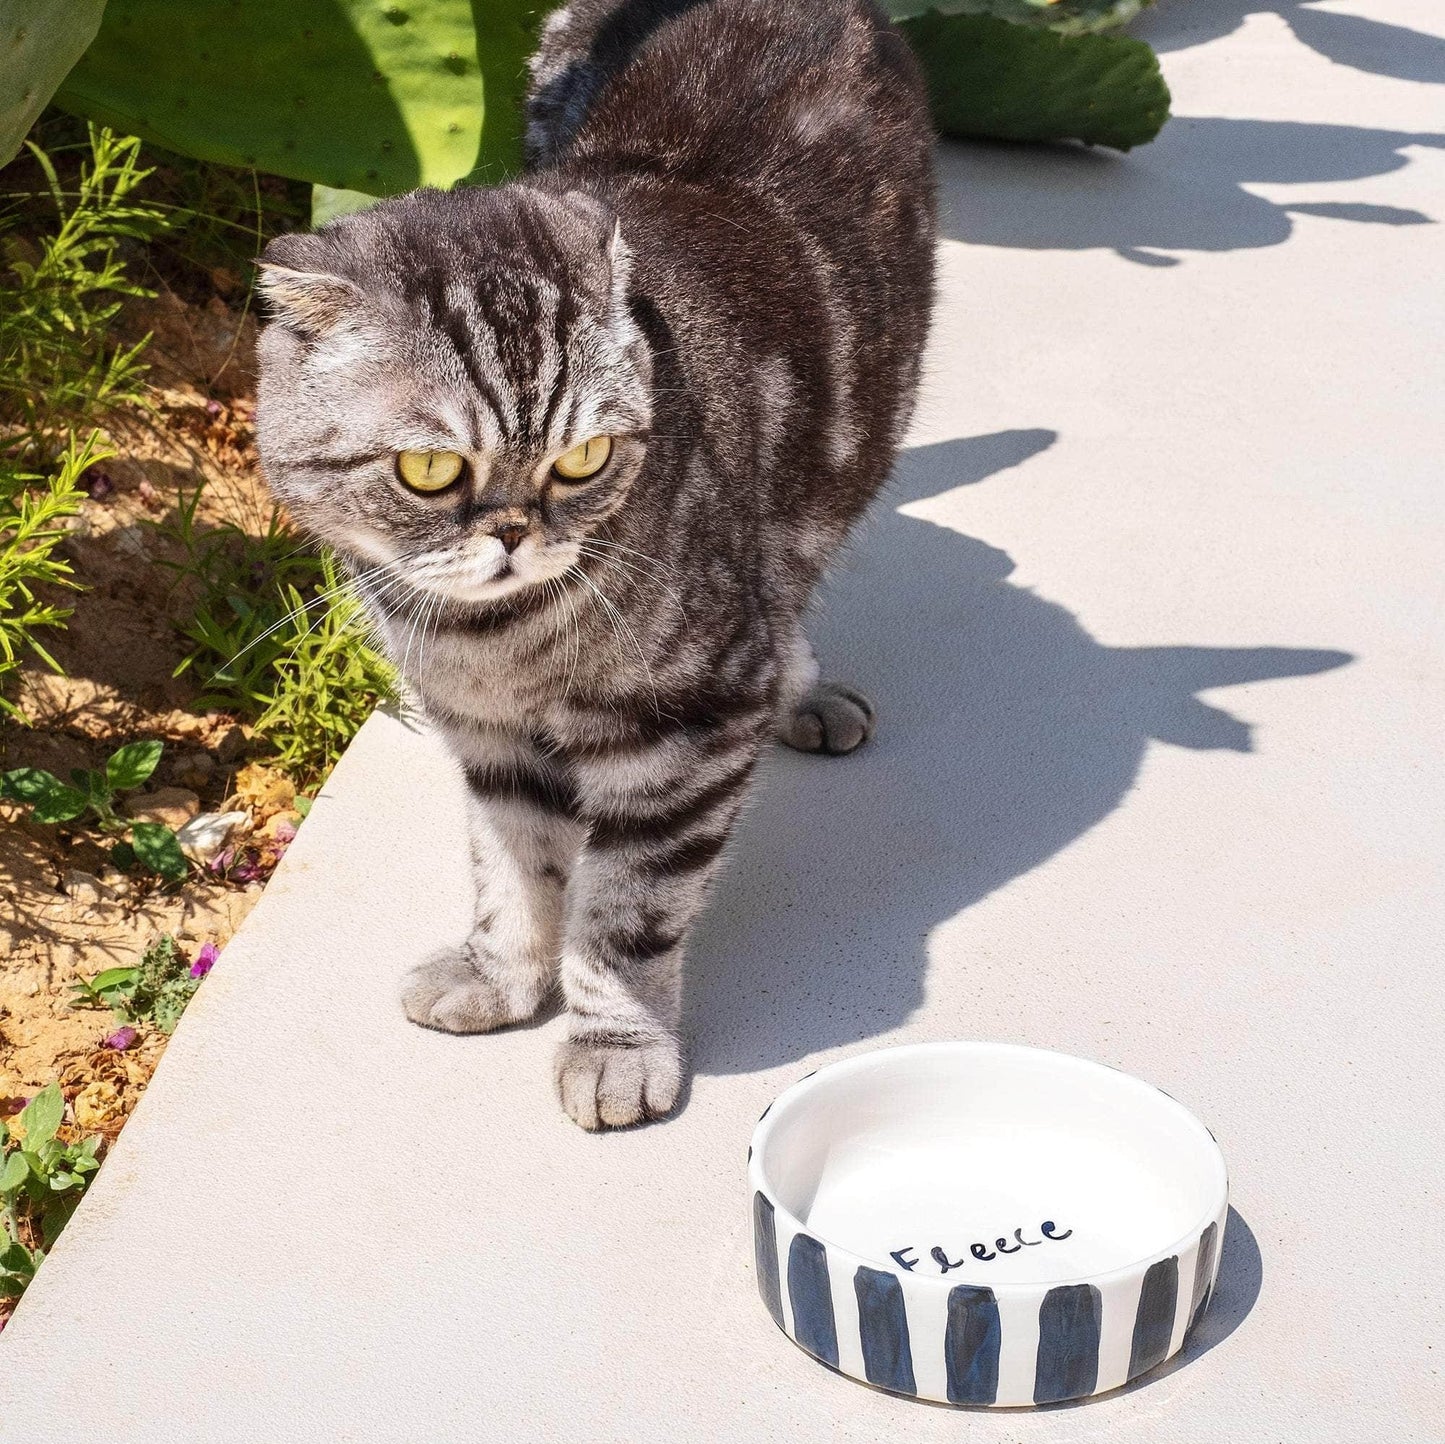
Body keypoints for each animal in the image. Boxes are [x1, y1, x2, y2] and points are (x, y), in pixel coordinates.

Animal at [257, 0, 936, 1127]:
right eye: (430, 469)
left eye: (582, 458)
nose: (513, 530)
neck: (497, 643)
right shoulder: (483, 735)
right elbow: (512, 867)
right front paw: (501, 975)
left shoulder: (688, 727)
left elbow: (628, 910)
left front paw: (614, 1040)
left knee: (789, 588)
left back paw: (802, 685)